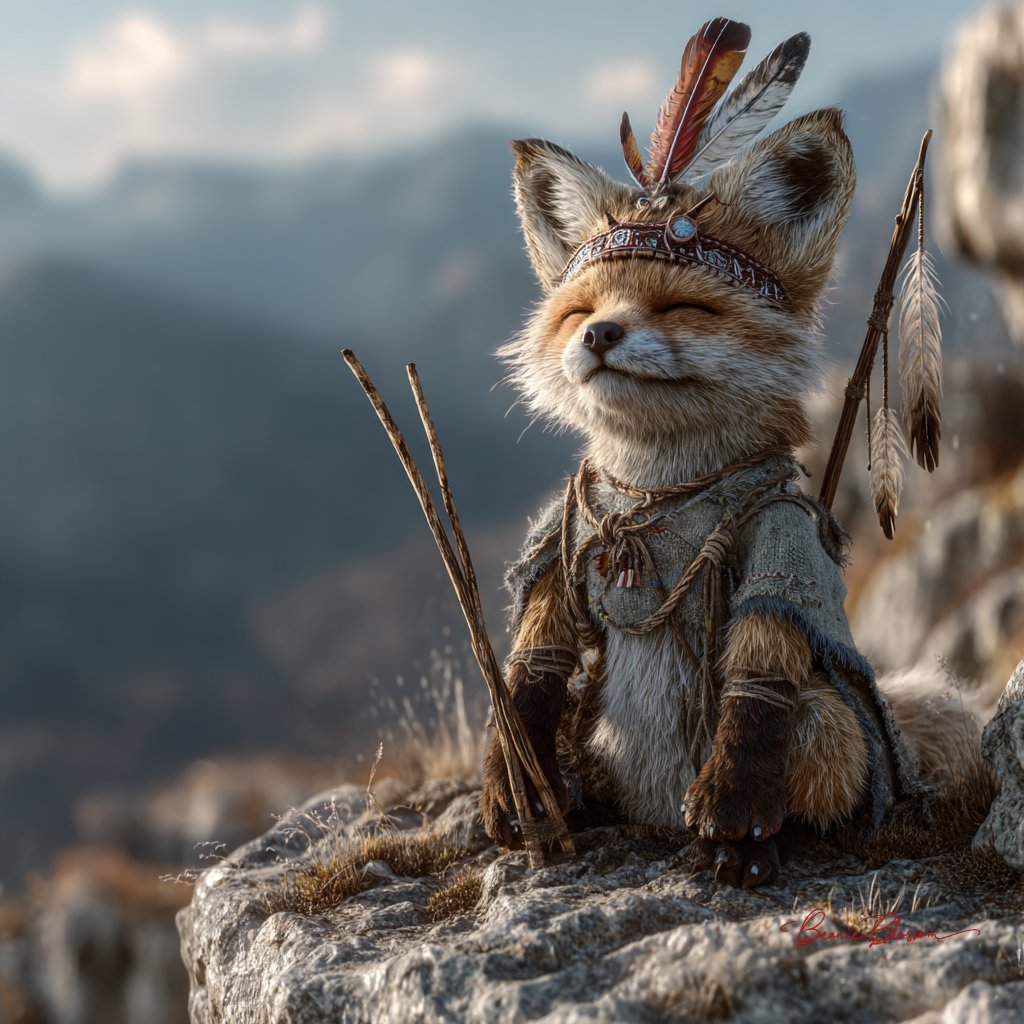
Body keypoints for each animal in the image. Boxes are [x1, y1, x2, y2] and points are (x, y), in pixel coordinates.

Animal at [478, 19, 986, 888]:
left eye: (685, 306)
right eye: (579, 308)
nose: (598, 334)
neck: (649, 497)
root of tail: (647, 814)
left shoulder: (778, 530)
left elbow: (758, 677)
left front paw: (732, 821)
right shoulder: (562, 536)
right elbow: (535, 665)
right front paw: (514, 787)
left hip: (827, 719)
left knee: (810, 736)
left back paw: (762, 842)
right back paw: (570, 804)